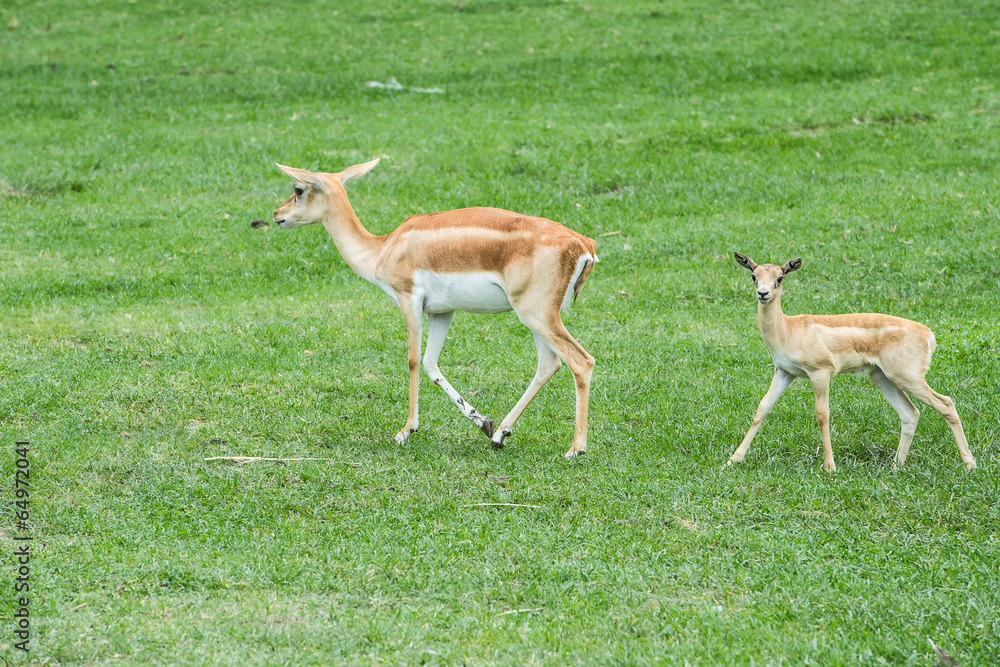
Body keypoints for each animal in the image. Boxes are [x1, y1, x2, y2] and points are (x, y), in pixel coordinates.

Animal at [270, 159, 596, 456]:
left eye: (298, 189)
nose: (276, 214)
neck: (383, 249)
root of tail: (584, 245)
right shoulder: (442, 312)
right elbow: (430, 363)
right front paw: (483, 422)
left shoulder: (408, 301)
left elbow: (413, 360)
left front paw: (405, 431)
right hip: (536, 318)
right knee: (549, 365)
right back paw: (499, 434)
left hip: (535, 315)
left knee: (581, 361)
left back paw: (575, 449)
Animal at [728, 253, 976, 472]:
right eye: (754, 275)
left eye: (780, 277)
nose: (763, 293)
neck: (788, 330)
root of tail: (928, 335)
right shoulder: (784, 372)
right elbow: (763, 407)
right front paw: (733, 460)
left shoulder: (820, 372)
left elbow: (822, 414)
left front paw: (830, 467)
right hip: (883, 378)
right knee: (910, 413)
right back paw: (896, 466)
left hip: (908, 377)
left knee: (946, 404)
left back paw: (969, 465)